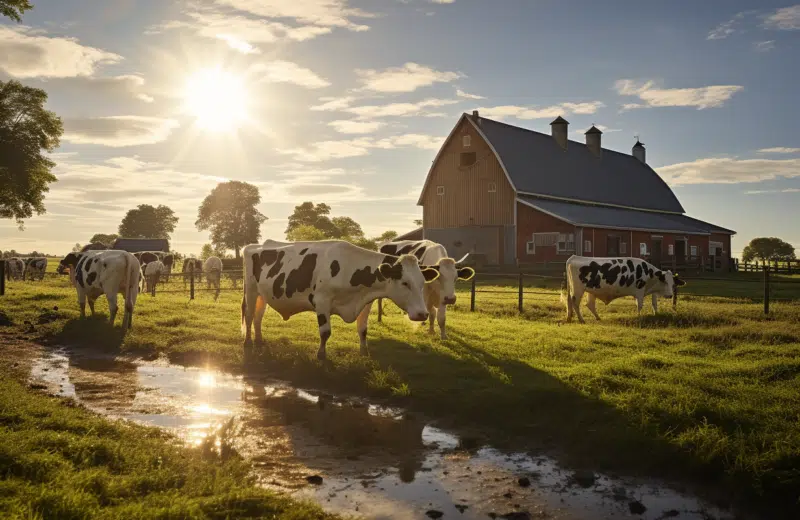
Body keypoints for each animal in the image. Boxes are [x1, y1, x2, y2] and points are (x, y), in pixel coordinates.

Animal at [244, 241, 440, 360]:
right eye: (405, 283)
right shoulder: (322, 301)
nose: (422, 314)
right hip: (251, 290)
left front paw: (364, 352)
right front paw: (321, 356)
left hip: (263, 295)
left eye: (422, 283)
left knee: (258, 317)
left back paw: (259, 340)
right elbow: (325, 332)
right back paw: (248, 342)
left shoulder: (365, 303)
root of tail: (256, 246)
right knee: (249, 315)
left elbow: (363, 330)